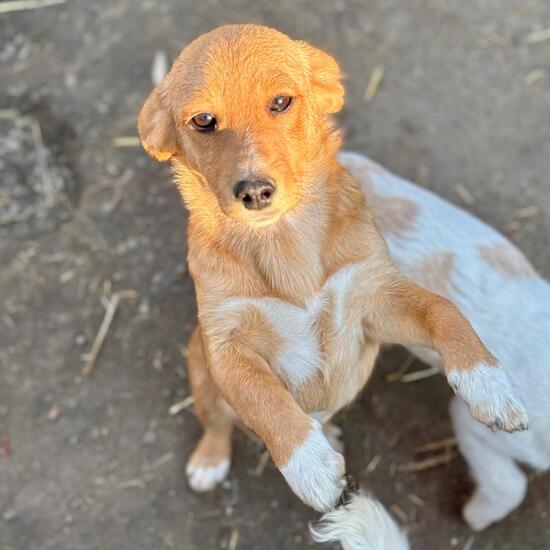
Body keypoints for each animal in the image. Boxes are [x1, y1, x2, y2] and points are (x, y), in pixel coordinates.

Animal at [138, 24, 529, 547]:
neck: (284, 243)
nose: (254, 191)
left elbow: (443, 309)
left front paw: (489, 385)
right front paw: (311, 467)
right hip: (199, 369)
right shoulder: (226, 345)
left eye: (282, 102)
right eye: (203, 120)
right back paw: (212, 460)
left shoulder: (375, 298)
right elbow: (266, 400)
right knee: (217, 422)